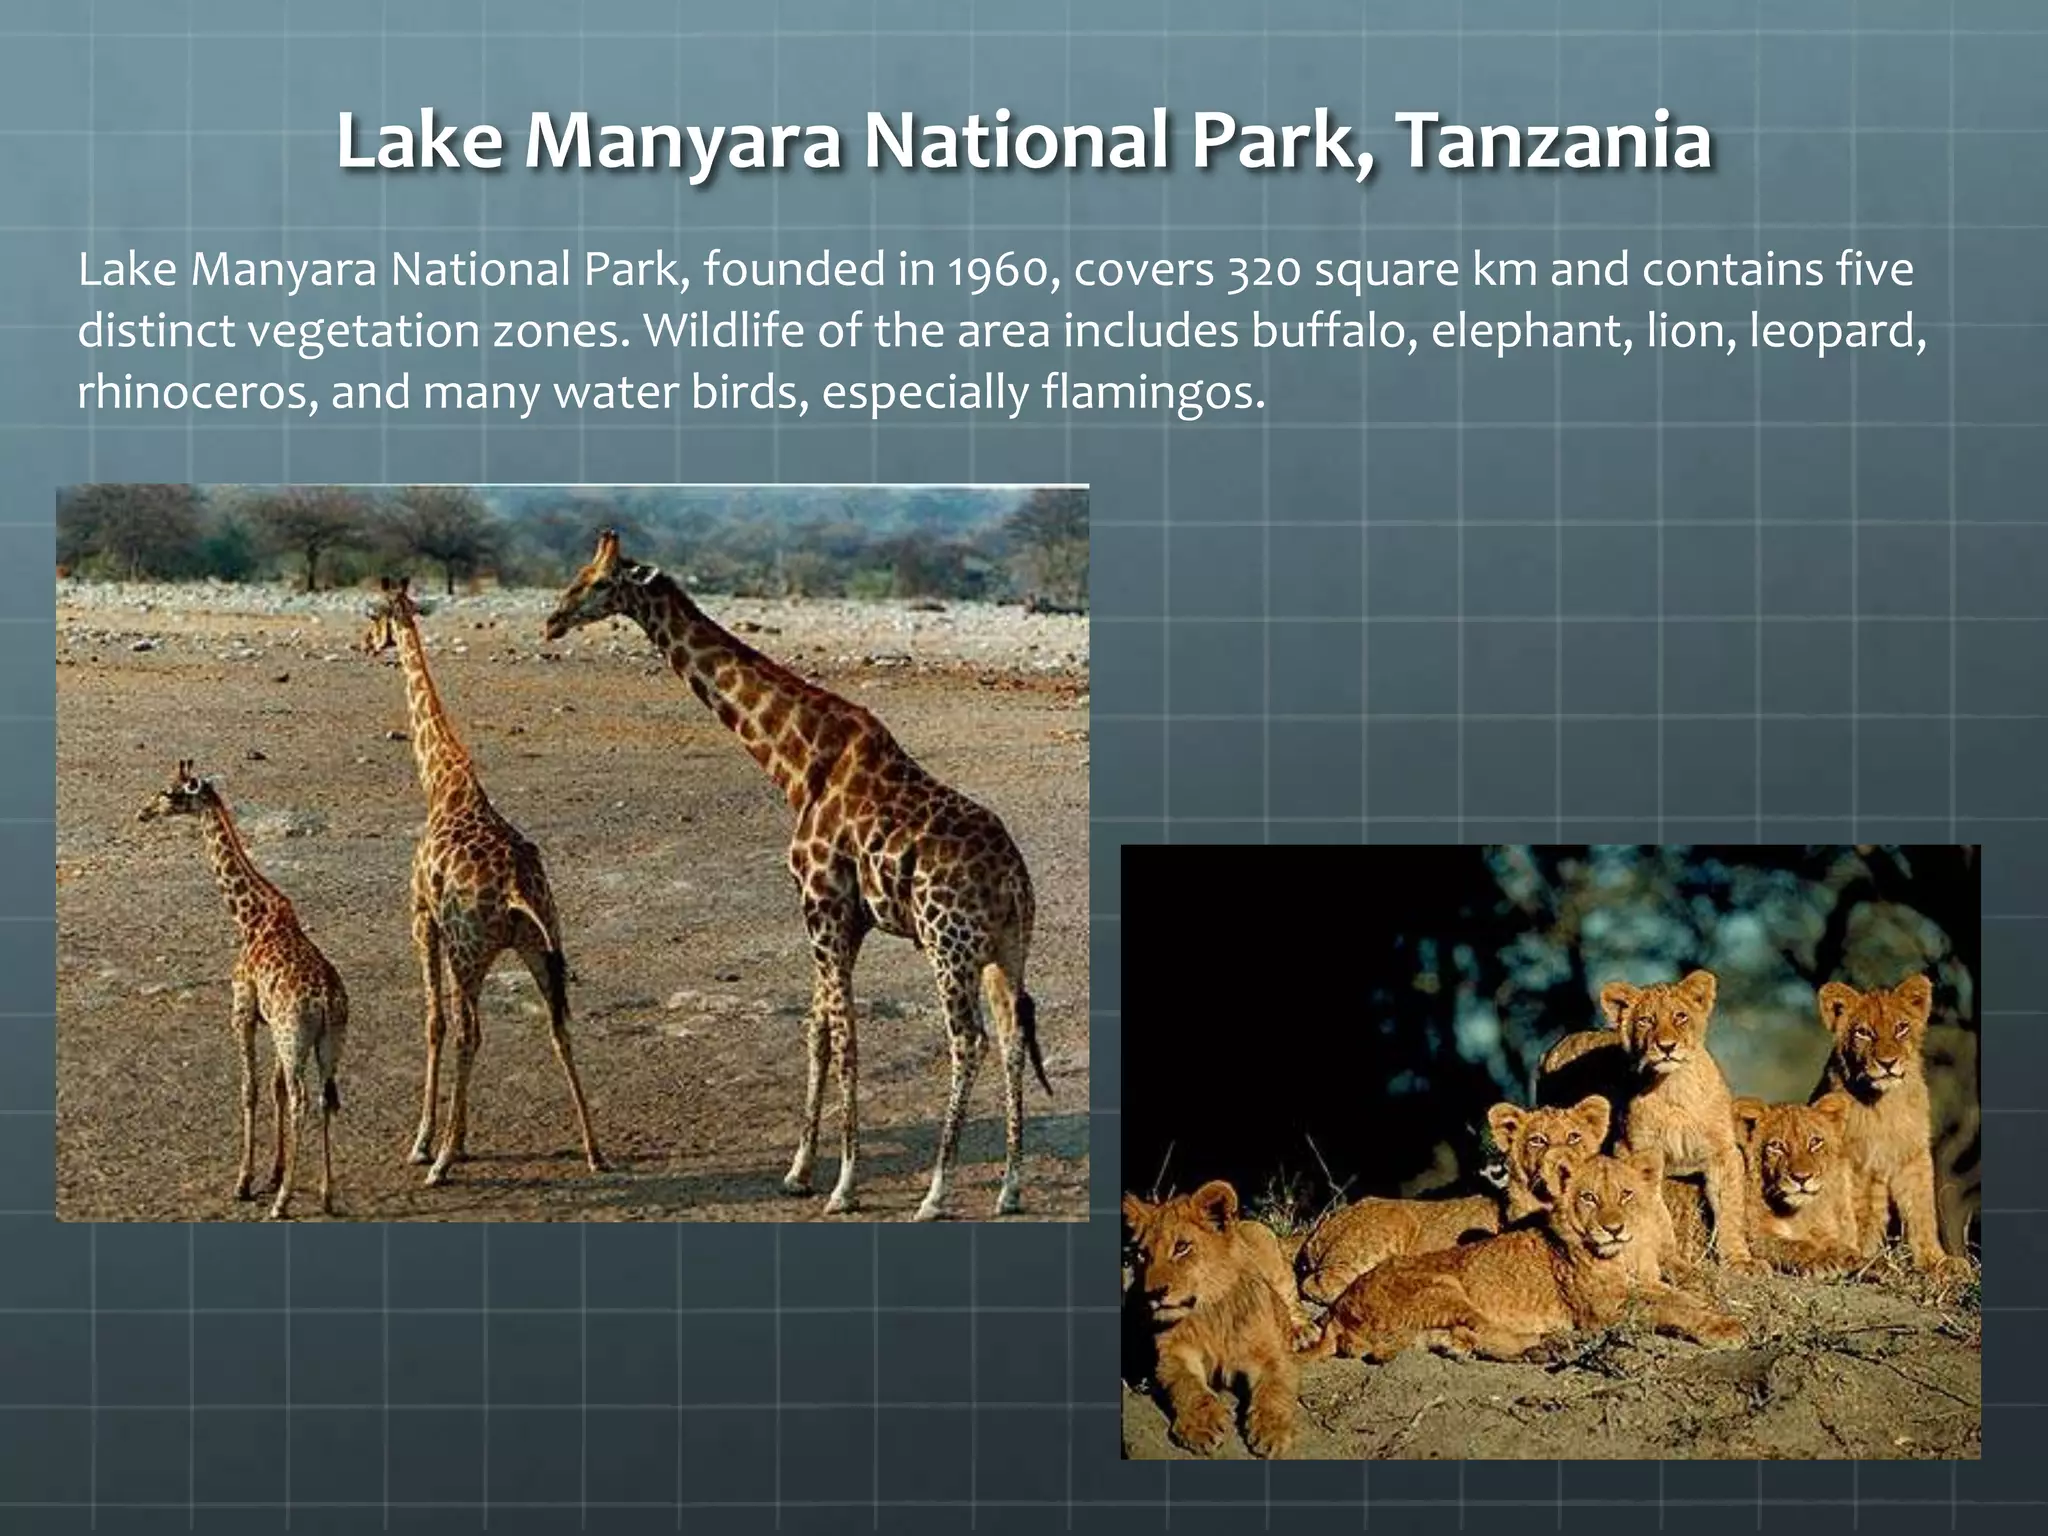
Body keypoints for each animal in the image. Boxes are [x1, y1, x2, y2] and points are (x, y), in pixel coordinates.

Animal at [1122, 1181, 1303, 1458]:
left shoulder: (1274, 1356)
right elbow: (1187, 1386)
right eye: (1142, 1255)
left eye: (1182, 1247)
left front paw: (1272, 1431)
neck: (1209, 1314)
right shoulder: (1173, 1355)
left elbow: (1274, 1390)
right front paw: (1201, 1425)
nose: (1153, 1293)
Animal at [1307, 1149, 1745, 1363]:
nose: (1614, 1228)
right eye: (1588, 1197)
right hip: (1444, 1286)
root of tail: (1337, 1313)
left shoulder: (1645, 1284)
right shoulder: (1604, 1309)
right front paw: (1724, 1328)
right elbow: (1672, 1309)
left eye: (1626, 1194)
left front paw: (1718, 1311)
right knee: (1485, 1329)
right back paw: (1552, 1344)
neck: (1623, 1255)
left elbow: (1681, 1298)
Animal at [1729, 1094, 1865, 1277]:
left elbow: (1836, 1244)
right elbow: (1794, 1245)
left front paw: (1853, 1257)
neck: (1794, 1215)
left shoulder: (1822, 1230)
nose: (1802, 1178)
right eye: (1776, 1145)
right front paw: (1820, 1261)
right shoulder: (1755, 1236)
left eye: (1815, 1142)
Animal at [1815, 974, 1966, 1275]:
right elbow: (1854, 1210)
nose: (1887, 1063)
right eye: (1863, 1033)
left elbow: (1922, 1209)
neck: (1885, 1105)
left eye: (1901, 1028)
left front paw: (1937, 1261)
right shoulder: (1849, 1158)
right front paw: (1861, 1260)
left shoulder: (1913, 1153)